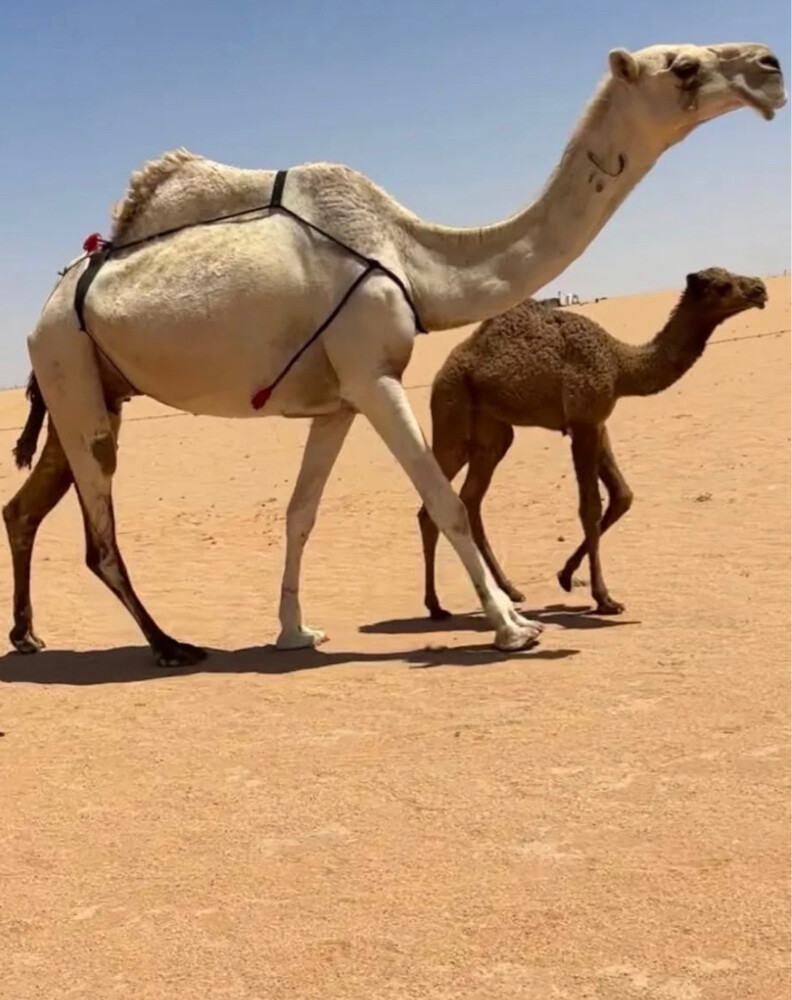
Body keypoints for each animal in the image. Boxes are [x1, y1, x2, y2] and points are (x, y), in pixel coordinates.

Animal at [419, 268, 768, 618]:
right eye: (723, 285)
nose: (760, 289)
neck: (620, 364)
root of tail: (442, 371)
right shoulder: (583, 421)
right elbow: (590, 507)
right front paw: (604, 598)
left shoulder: (597, 421)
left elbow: (623, 495)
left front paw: (565, 576)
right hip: (451, 412)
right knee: (436, 501)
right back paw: (436, 606)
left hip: (492, 433)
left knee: (471, 499)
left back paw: (510, 590)